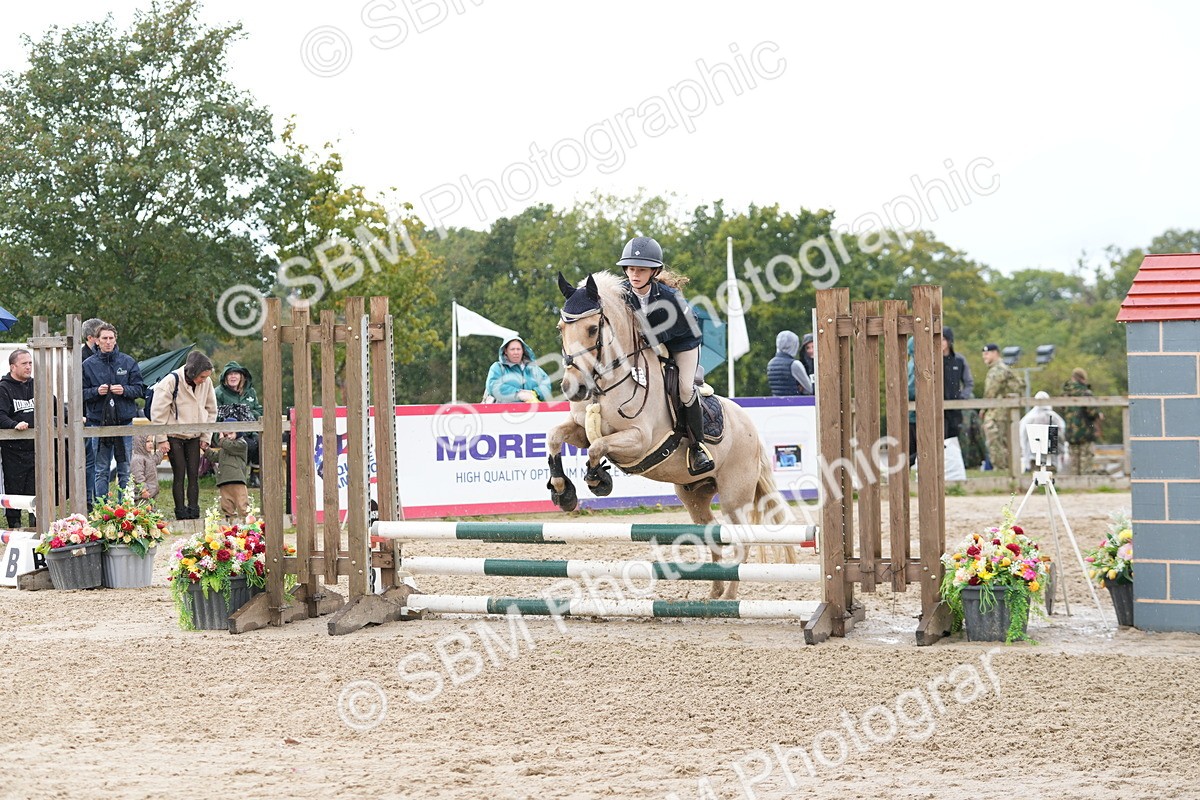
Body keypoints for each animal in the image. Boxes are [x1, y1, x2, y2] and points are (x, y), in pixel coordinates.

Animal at [545, 271, 797, 600]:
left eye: (592, 328)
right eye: (561, 328)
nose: (572, 388)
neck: (610, 382)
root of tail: (750, 426)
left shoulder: (638, 441)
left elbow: (596, 448)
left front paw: (598, 480)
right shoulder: (579, 431)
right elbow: (555, 437)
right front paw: (563, 491)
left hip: (734, 496)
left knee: (741, 540)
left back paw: (729, 597)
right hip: (693, 495)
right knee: (712, 533)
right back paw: (714, 593)